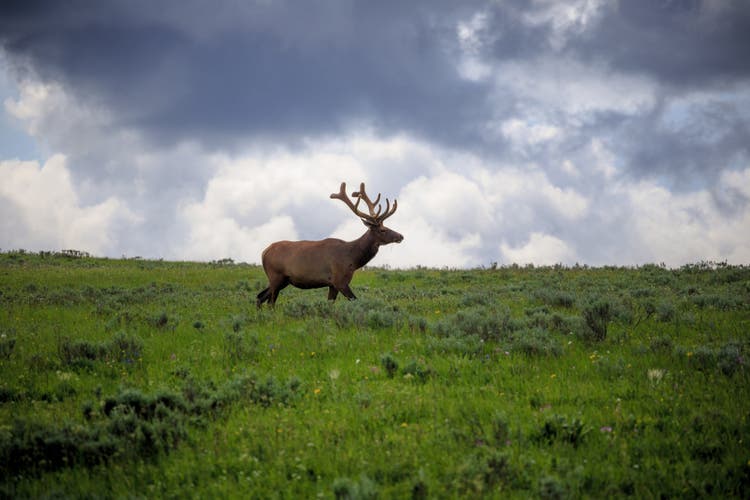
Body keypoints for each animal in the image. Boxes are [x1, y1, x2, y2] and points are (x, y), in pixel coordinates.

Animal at [256, 182, 403, 307]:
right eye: (383, 230)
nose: (401, 236)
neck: (352, 259)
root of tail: (264, 252)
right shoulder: (339, 280)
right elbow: (354, 300)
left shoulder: (332, 284)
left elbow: (330, 303)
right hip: (275, 275)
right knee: (269, 302)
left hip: (283, 280)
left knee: (260, 297)